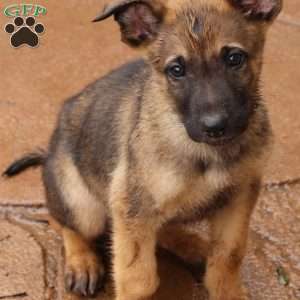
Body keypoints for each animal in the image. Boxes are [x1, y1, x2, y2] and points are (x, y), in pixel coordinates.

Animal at [3, 0, 282, 298]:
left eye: (234, 59)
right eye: (176, 70)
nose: (215, 126)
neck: (207, 153)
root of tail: (49, 153)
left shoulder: (239, 196)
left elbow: (228, 258)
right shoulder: (131, 205)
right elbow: (139, 278)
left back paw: (192, 246)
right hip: (82, 204)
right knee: (62, 222)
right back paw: (83, 262)